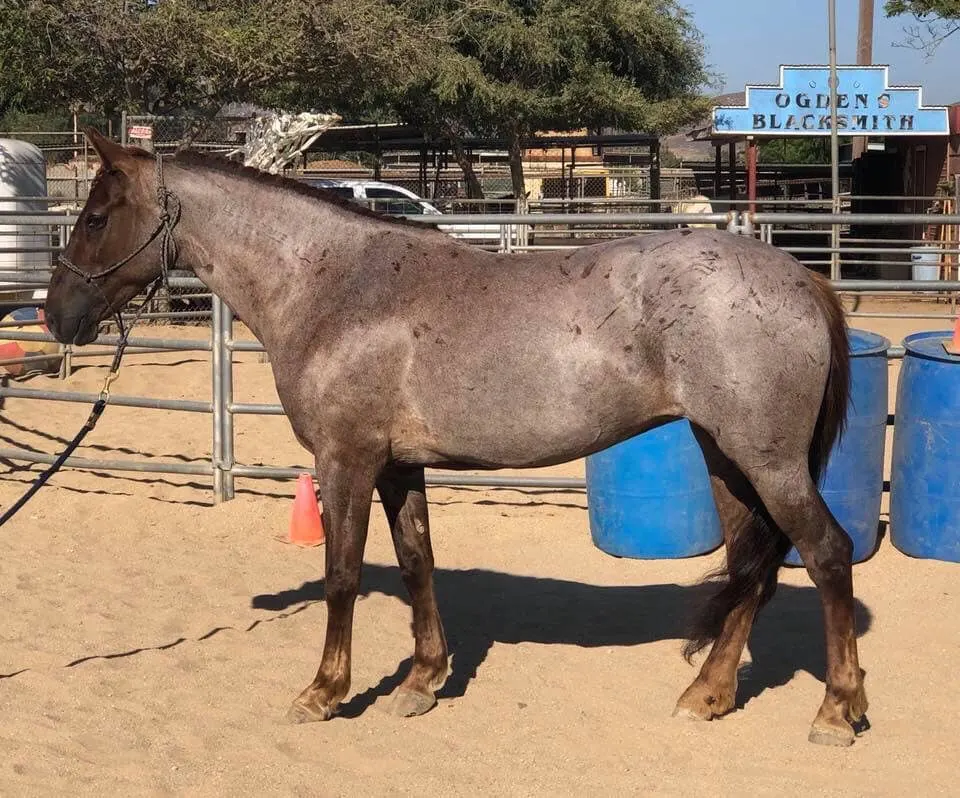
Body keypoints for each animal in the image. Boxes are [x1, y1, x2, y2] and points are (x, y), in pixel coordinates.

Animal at [45, 131, 872, 752]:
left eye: (96, 216)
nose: (56, 315)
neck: (337, 287)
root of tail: (801, 277)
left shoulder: (345, 460)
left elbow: (343, 574)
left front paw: (324, 692)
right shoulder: (398, 467)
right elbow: (418, 562)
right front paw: (422, 681)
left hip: (768, 461)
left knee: (825, 555)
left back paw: (836, 711)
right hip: (727, 458)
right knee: (752, 569)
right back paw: (706, 694)